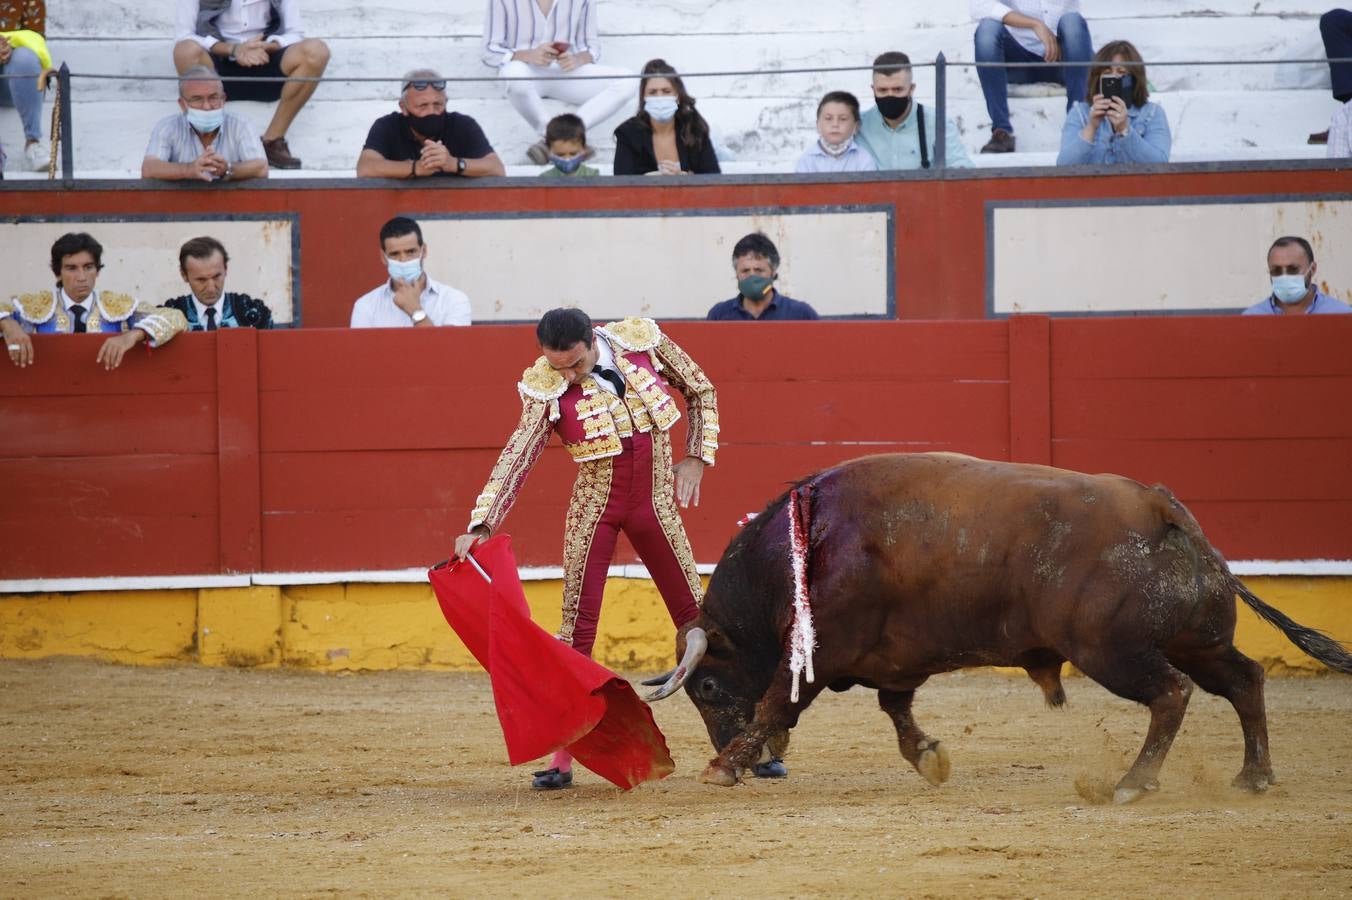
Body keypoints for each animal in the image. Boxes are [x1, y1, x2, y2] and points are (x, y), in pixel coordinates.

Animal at [643, 451, 1352, 800]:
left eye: (707, 688)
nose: (763, 764)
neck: (805, 546)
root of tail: (1162, 507)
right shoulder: (894, 660)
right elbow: (896, 710)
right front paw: (928, 758)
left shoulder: (818, 653)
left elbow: (774, 704)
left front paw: (723, 766)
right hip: (1197, 639)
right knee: (1245, 682)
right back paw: (1252, 778)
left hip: (1114, 651)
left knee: (1172, 694)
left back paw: (1132, 783)